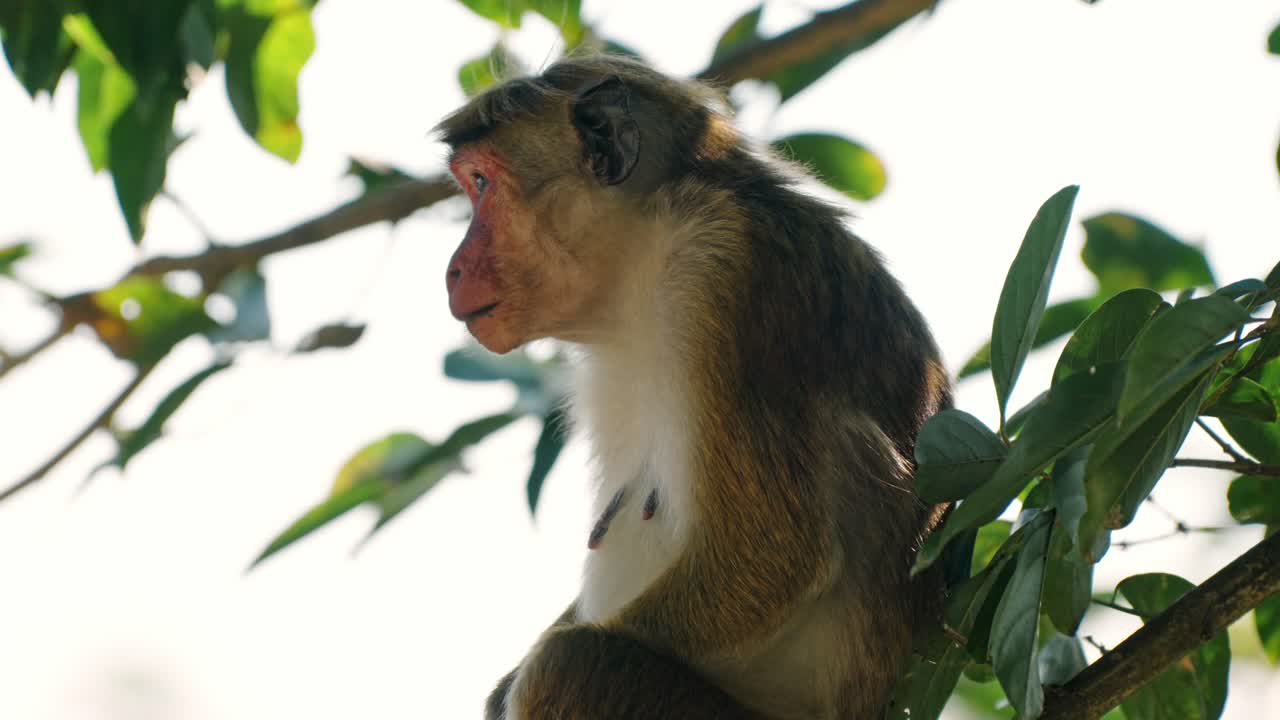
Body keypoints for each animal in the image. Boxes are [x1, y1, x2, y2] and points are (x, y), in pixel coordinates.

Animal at [436, 55, 952, 720]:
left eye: (481, 183)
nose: (451, 270)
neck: (644, 253)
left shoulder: (721, 267)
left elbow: (776, 555)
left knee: (569, 662)